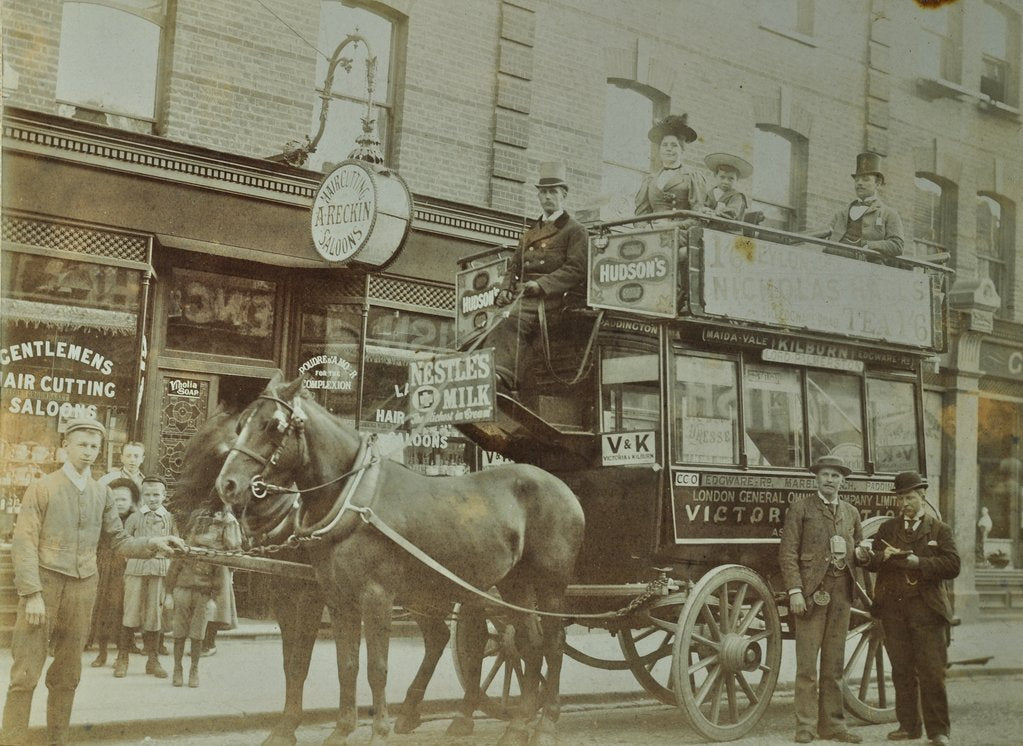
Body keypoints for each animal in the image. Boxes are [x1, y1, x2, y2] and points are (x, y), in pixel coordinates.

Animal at [214, 378, 585, 744]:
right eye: (241, 425)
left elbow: (376, 668)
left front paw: (379, 731)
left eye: (273, 425)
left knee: (551, 643)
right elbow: (346, 664)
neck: (353, 498)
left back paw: (545, 722)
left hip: (548, 585)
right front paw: (341, 729)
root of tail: (563, 487)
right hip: (507, 583)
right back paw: (516, 724)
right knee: (525, 643)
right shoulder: (338, 597)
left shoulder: (373, 595)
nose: (227, 484)